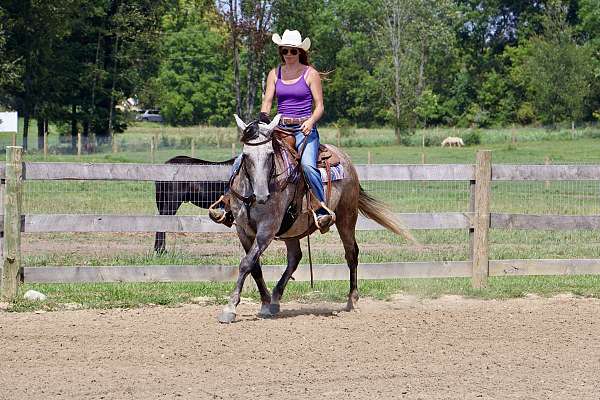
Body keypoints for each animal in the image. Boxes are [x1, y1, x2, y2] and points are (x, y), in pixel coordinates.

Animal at [218, 114, 414, 324]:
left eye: (271, 154)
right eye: (246, 156)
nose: (262, 196)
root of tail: (345, 159)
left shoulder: (267, 229)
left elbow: (247, 263)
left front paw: (230, 308)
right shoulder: (243, 230)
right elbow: (254, 266)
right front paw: (264, 303)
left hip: (346, 216)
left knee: (351, 253)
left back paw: (352, 300)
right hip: (292, 229)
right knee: (295, 258)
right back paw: (275, 299)